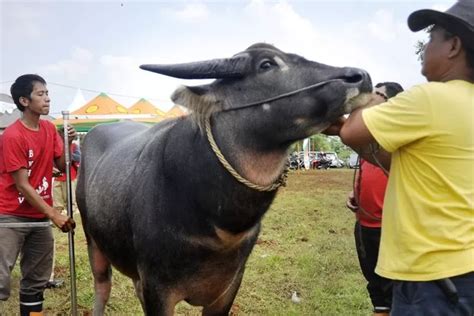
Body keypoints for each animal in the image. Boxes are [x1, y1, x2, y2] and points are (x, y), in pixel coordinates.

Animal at [76, 42, 372, 316]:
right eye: (266, 64)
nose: (362, 76)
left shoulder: (228, 287)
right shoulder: (157, 288)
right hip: (93, 239)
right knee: (102, 286)